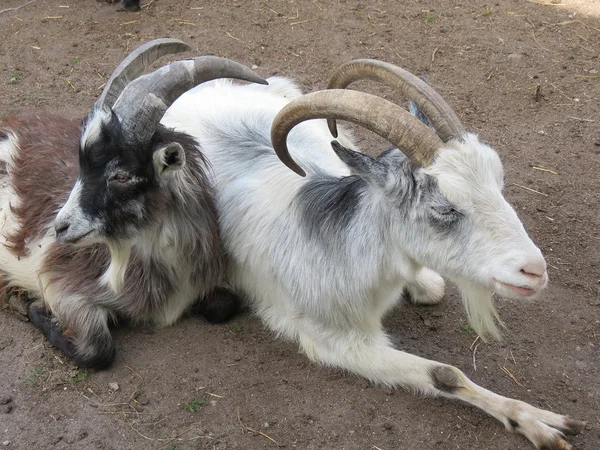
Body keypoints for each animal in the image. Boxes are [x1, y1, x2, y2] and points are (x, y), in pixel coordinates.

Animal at [0, 38, 268, 370]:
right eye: (81, 167)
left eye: (121, 176)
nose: (60, 228)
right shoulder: (63, 285)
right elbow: (98, 350)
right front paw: (31, 306)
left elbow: (224, 305)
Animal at [162, 60, 584, 450]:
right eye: (444, 208)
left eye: (499, 183)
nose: (534, 271)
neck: (346, 249)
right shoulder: (331, 338)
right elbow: (444, 374)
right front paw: (539, 424)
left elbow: (433, 294)